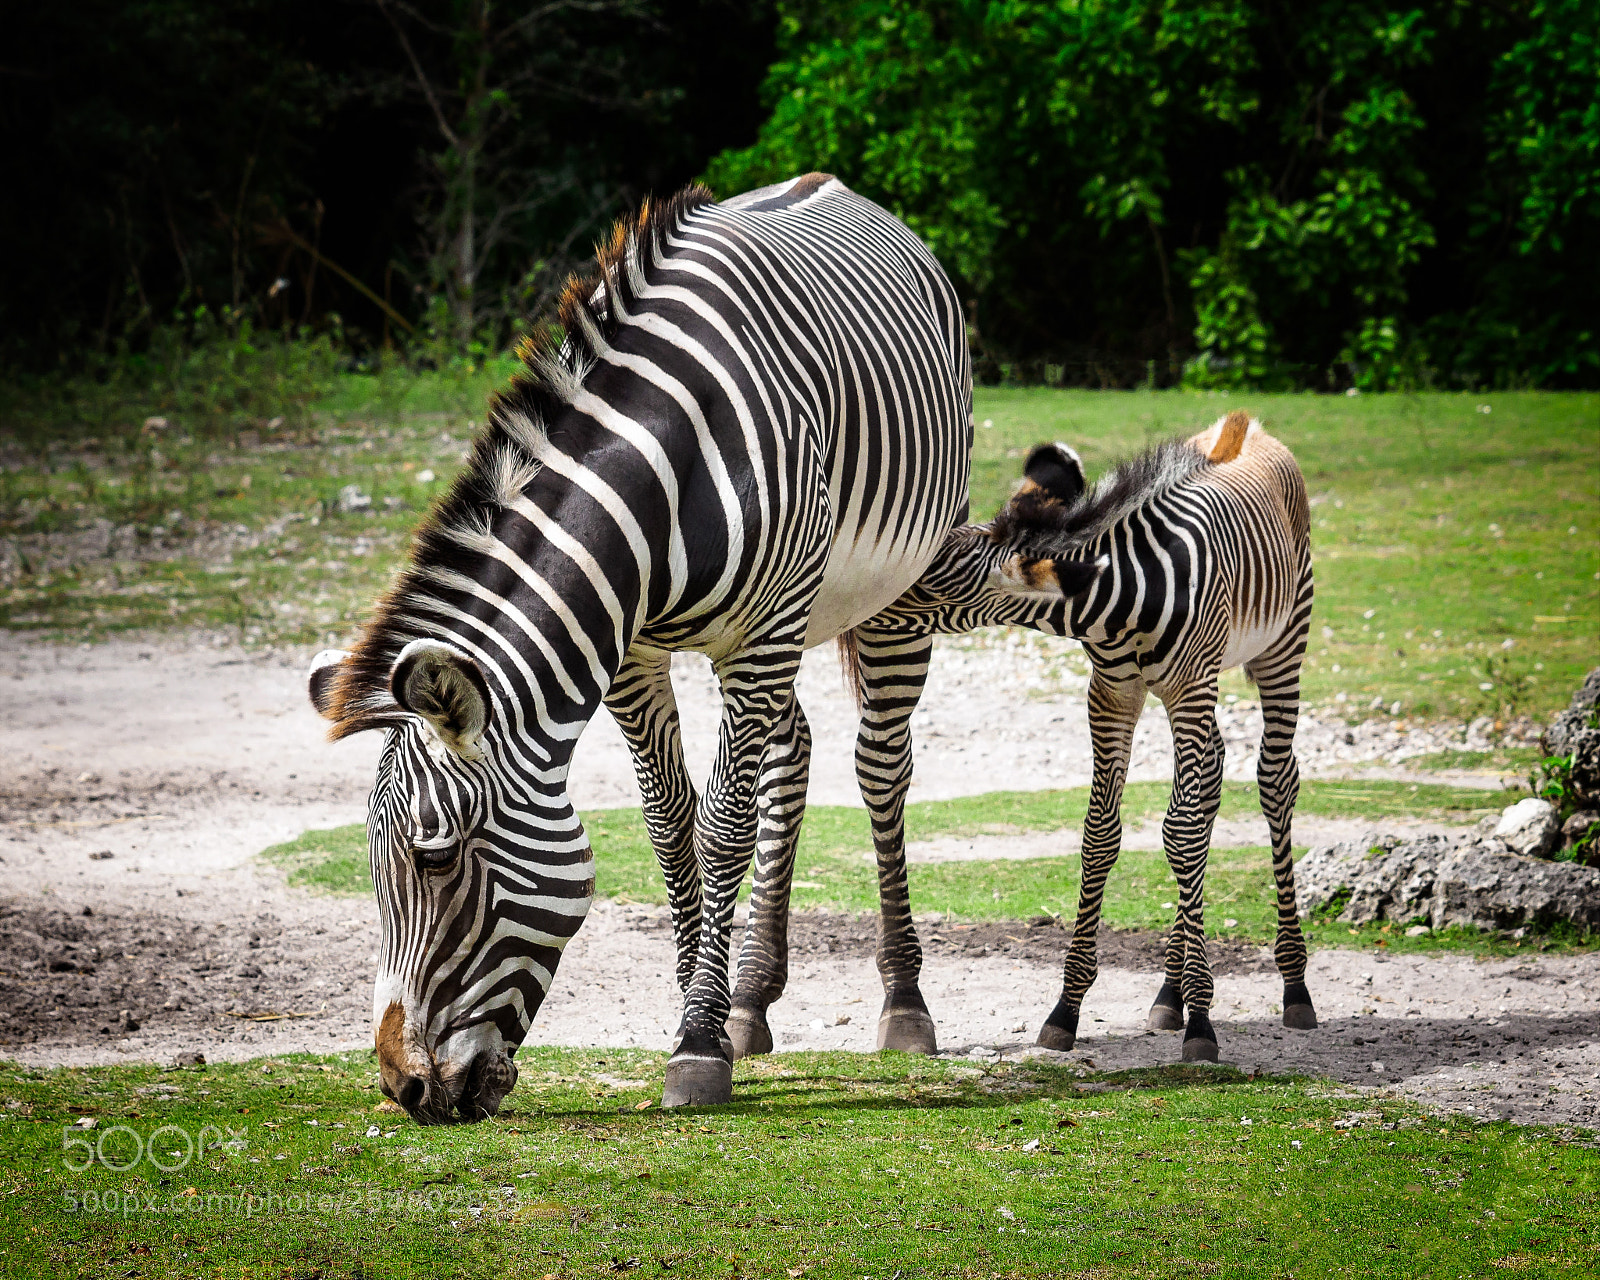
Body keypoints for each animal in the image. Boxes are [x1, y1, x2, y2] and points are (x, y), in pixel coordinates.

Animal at [306, 173, 979, 1120]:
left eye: (434, 861)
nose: (407, 1089)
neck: (659, 475)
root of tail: (835, 185)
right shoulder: (636, 657)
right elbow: (672, 827)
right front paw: (707, 1009)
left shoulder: (758, 638)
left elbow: (725, 827)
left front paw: (696, 1043)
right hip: (795, 620)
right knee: (794, 752)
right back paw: (752, 999)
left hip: (899, 582)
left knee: (880, 767)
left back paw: (904, 1004)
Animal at [832, 411, 1319, 1064]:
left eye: (935, 585)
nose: (859, 609)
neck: (1127, 601)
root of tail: (1255, 429)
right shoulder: (1111, 690)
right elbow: (1102, 834)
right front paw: (1068, 1008)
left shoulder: (1190, 686)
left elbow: (1183, 834)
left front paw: (1202, 1023)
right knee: (1211, 786)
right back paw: (1168, 993)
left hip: (1283, 643)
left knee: (1273, 782)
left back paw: (1294, 987)